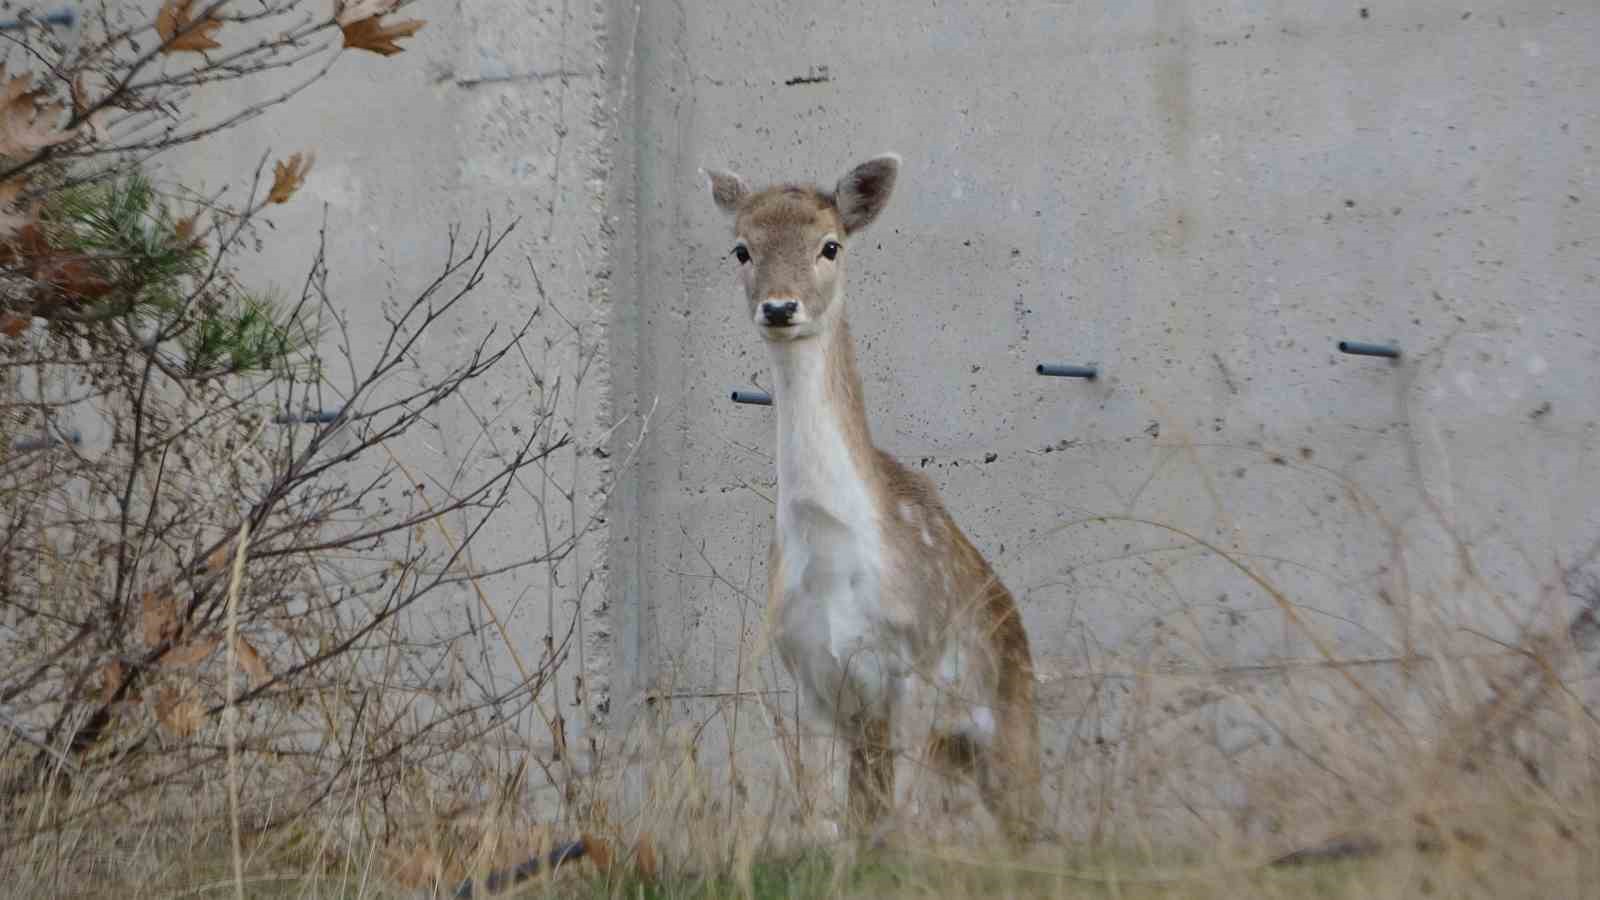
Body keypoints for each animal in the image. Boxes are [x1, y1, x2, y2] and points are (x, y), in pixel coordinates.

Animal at [707, 152, 1043, 839]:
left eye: (830, 245)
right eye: (741, 249)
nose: (780, 307)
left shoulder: (914, 663)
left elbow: (904, 824)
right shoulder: (812, 678)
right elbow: (836, 824)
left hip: (1008, 724)